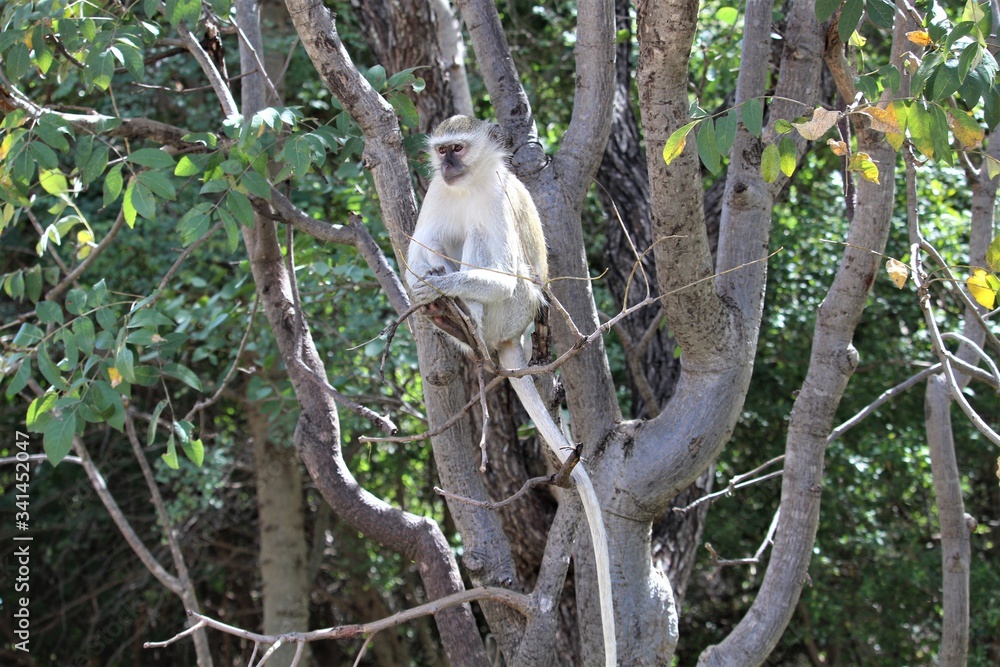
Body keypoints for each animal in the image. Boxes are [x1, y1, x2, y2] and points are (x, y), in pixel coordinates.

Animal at [406, 115, 617, 666]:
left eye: (457, 149)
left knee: (487, 260)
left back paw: (465, 321)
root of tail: (511, 339)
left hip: (515, 310)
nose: (447, 165)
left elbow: (495, 274)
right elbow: (415, 259)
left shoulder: (495, 199)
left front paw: (442, 288)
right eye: (442, 151)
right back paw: (453, 328)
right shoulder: (437, 191)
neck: (470, 183)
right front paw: (427, 284)